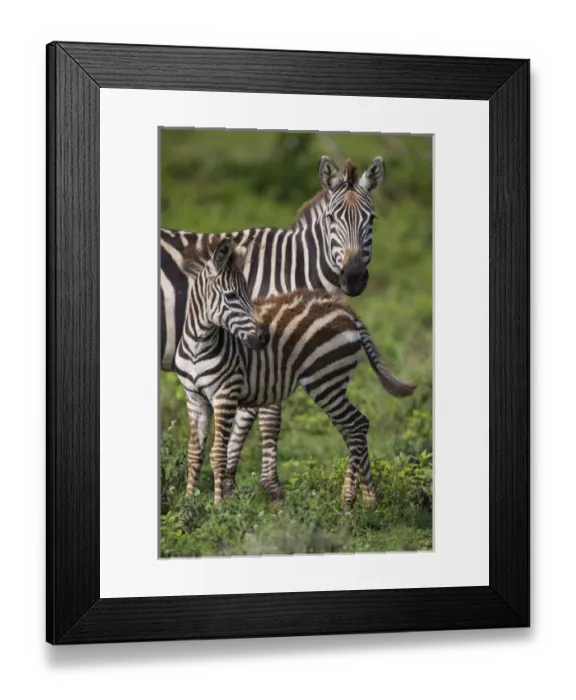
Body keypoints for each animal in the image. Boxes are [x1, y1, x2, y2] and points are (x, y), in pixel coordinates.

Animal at [162, 155, 386, 496]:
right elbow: (270, 420)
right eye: (332, 219)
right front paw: (270, 490)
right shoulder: (267, 350)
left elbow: (244, 421)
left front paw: (230, 485)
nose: (354, 276)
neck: (292, 268)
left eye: (371, 219)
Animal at [174, 237, 416, 508]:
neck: (198, 346)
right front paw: (189, 503)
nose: (263, 337)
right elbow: (194, 453)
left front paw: (218, 506)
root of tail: (345, 309)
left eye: (247, 294)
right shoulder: (195, 398)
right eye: (231, 295)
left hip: (325, 381)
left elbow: (217, 454)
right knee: (354, 428)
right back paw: (356, 499)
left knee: (355, 426)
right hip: (332, 384)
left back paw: (361, 499)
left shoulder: (225, 394)